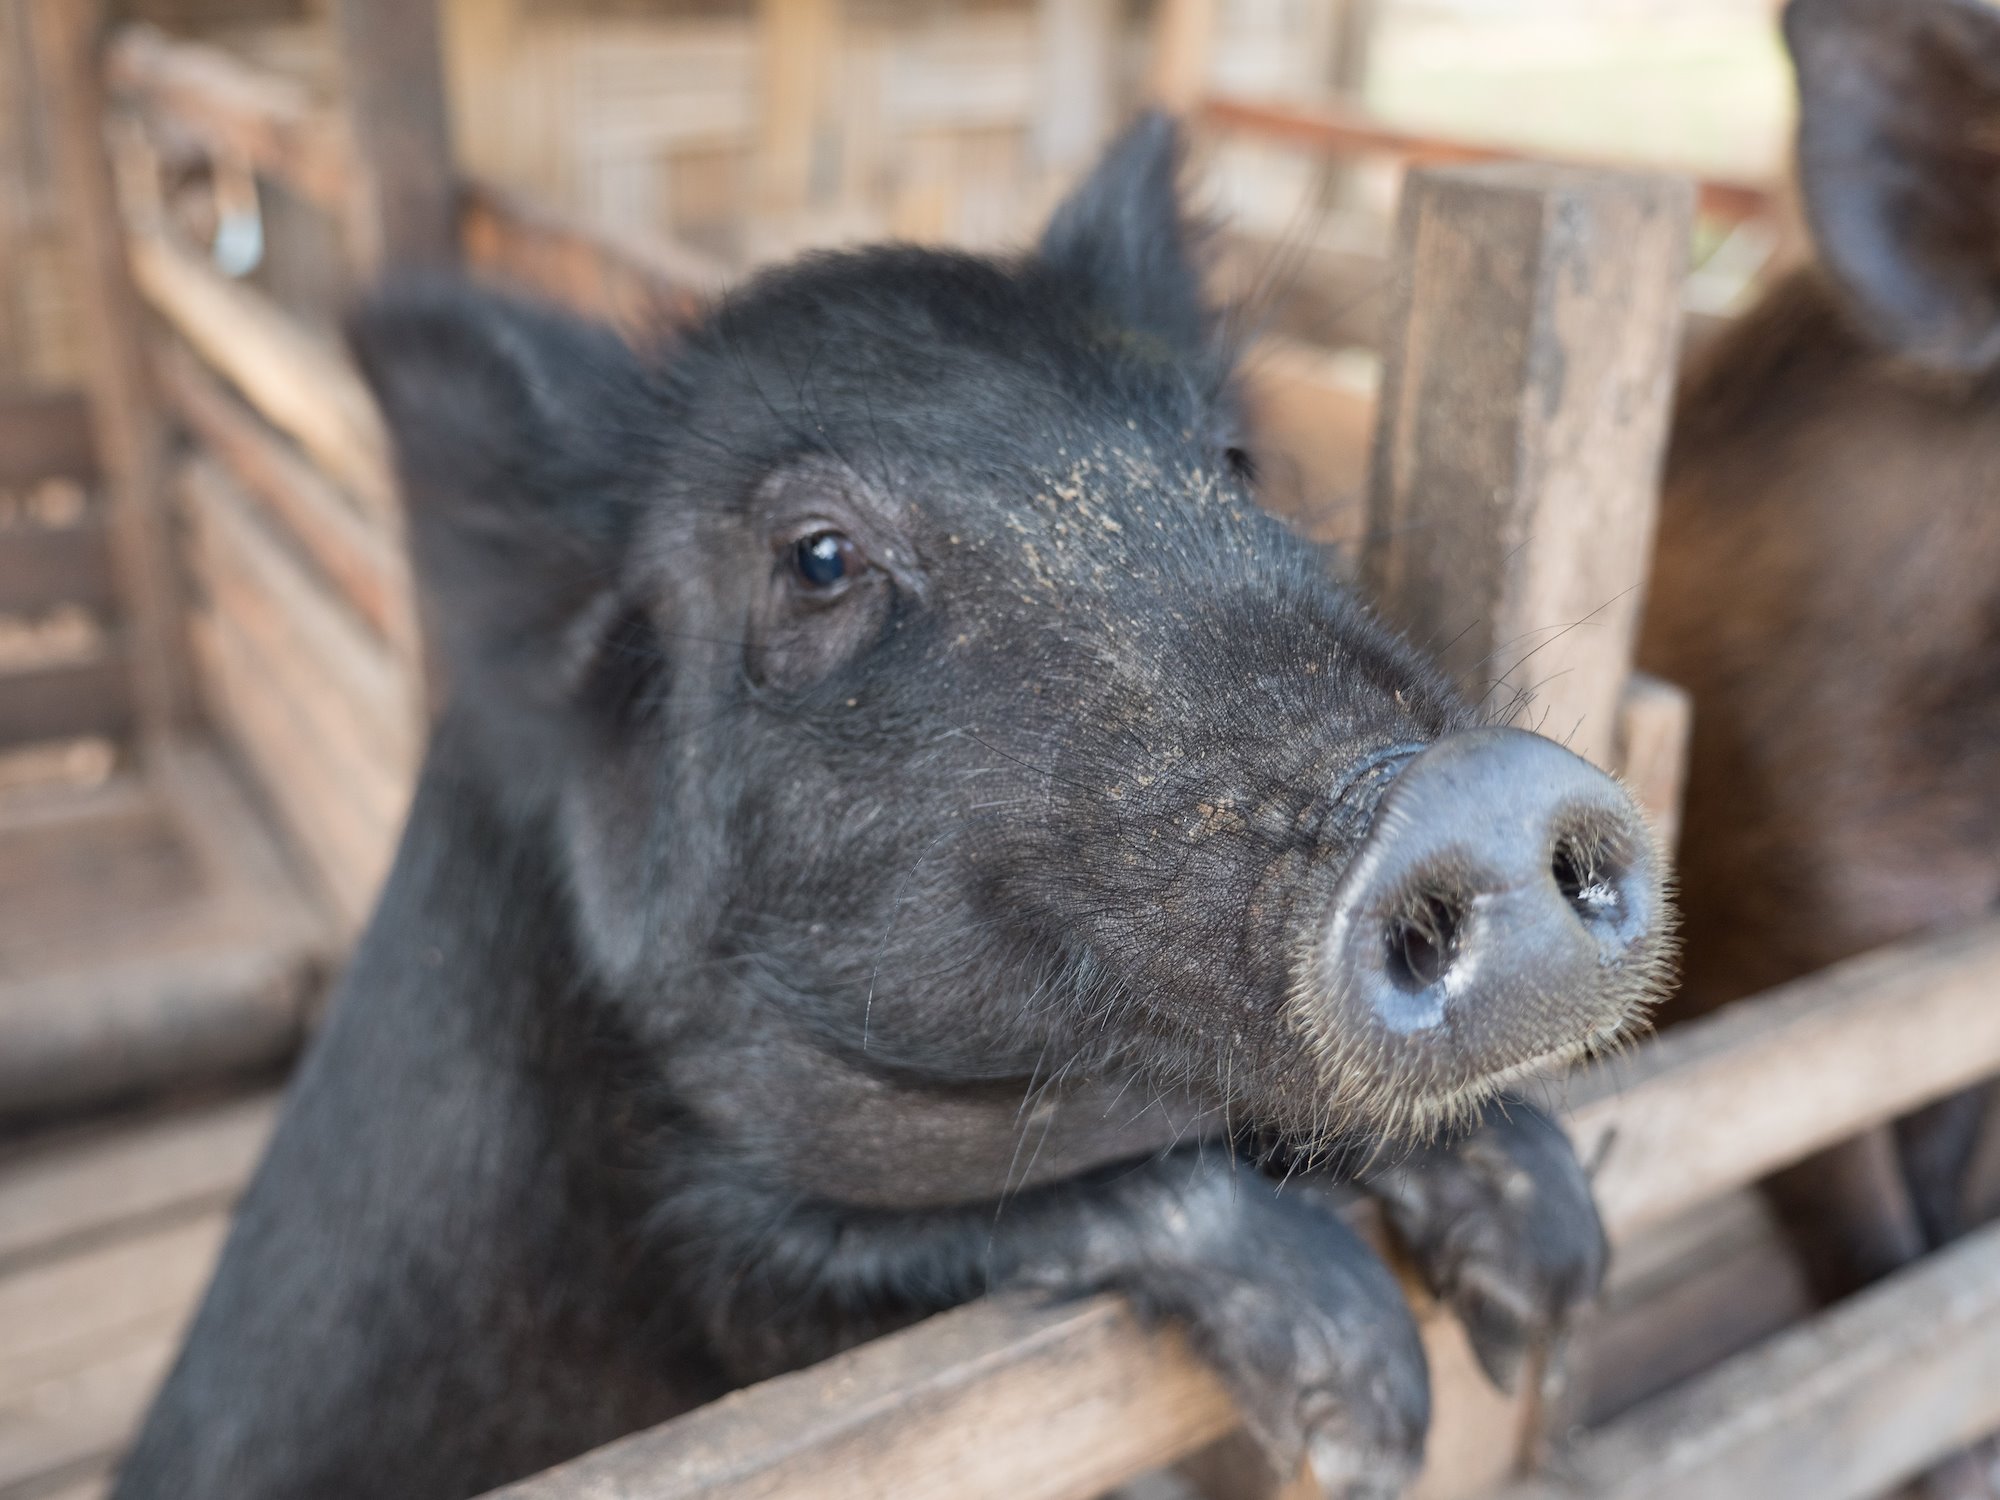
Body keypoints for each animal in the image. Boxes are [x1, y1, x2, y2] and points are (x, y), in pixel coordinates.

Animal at [117, 120, 1664, 1500]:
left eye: (1232, 464)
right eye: (817, 560)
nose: (1481, 783)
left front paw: (1550, 1284)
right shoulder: (715, 1282)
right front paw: (1374, 1416)